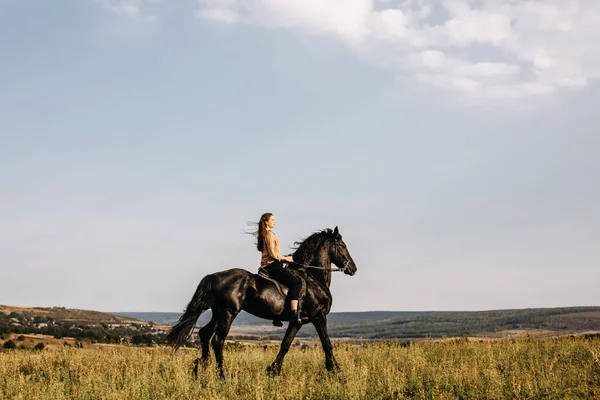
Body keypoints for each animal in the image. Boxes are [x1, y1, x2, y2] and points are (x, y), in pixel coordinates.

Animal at [165, 227, 356, 376]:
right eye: (343, 246)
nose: (353, 269)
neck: (313, 278)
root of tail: (214, 276)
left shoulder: (297, 321)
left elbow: (285, 344)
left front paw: (273, 370)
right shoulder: (319, 316)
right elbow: (327, 343)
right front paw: (336, 370)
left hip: (217, 312)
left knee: (205, 334)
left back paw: (201, 367)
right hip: (229, 313)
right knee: (218, 340)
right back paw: (223, 375)